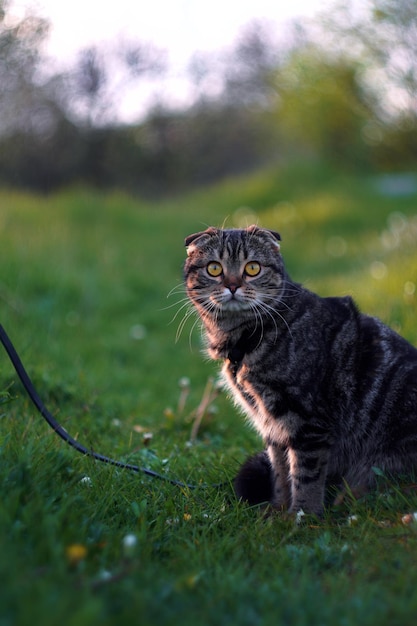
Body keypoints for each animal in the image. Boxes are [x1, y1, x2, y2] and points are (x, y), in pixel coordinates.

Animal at [183, 223, 417, 512]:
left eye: (253, 268)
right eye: (214, 268)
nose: (233, 286)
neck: (247, 337)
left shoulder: (308, 420)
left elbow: (305, 476)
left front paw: (303, 516)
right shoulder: (273, 424)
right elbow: (281, 471)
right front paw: (279, 512)